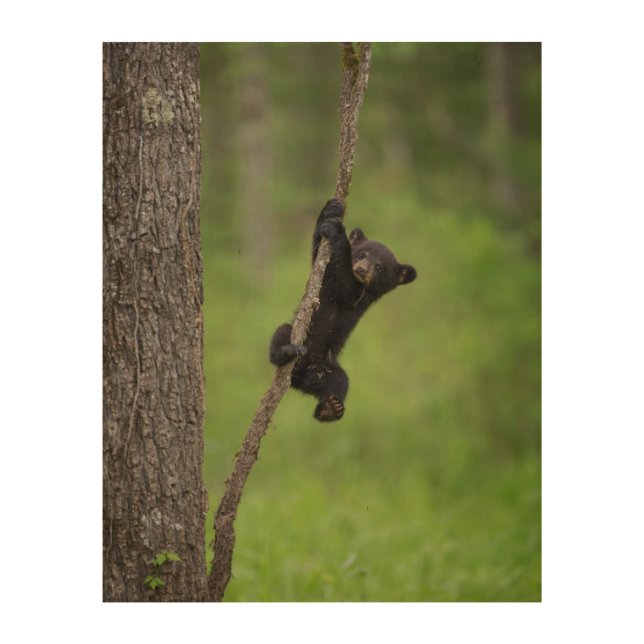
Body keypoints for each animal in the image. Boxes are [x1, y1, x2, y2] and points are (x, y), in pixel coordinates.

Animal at [269, 198, 417, 422]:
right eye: (362, 254)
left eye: (379, 266)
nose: (362, 269)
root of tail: (300, 378)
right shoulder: (323, 277)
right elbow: (318, 252)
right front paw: (330, 211)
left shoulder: (359, 296)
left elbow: (345, 286)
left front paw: (338, 232)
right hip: (298, 337)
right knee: (282, 334)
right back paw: (287, 350)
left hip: (328, 366)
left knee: (340, 382)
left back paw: (330, 408)